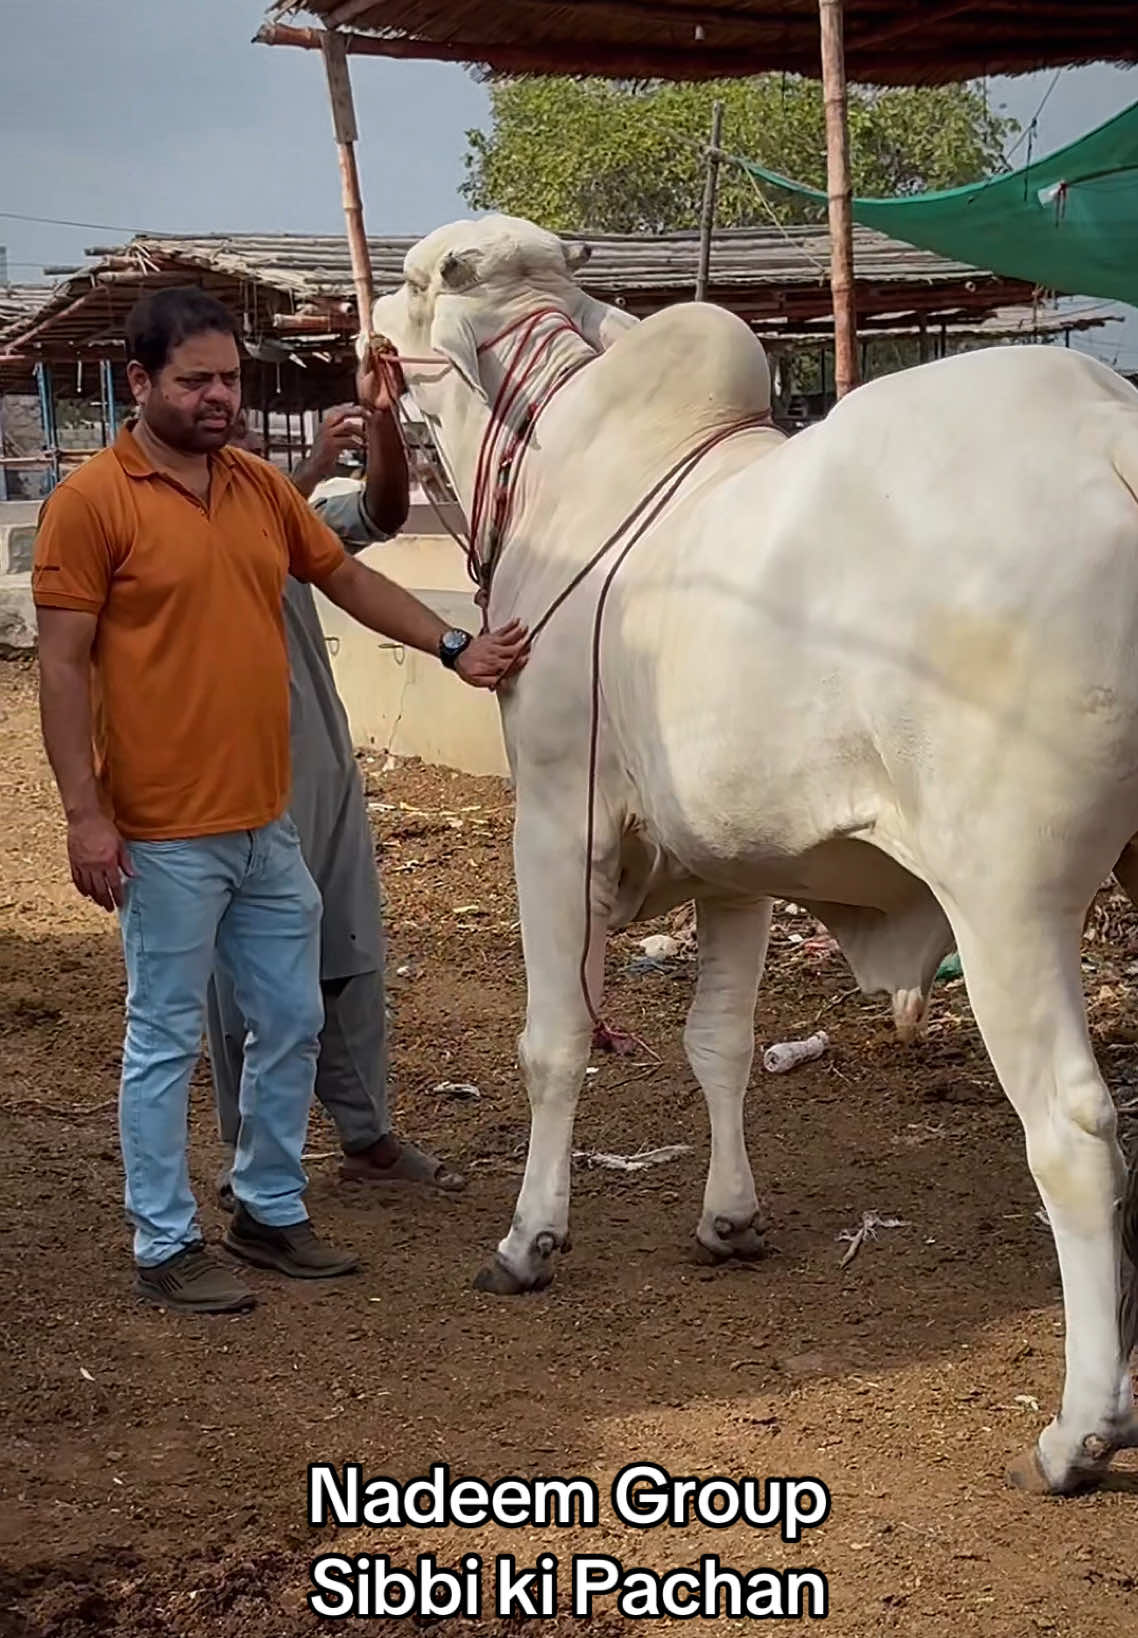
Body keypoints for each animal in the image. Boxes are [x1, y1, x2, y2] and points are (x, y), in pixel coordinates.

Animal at [372, 212, 1138, 1496]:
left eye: (426, 280)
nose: (365, 321)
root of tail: (1109, 423)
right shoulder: (730, 866)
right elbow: (718, 1045)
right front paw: (728, 1218)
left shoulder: (553, 819)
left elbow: (552, 1043)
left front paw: (530, 1236)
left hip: (1007, 899)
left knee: (1074, 1135)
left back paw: (1080, 1427)